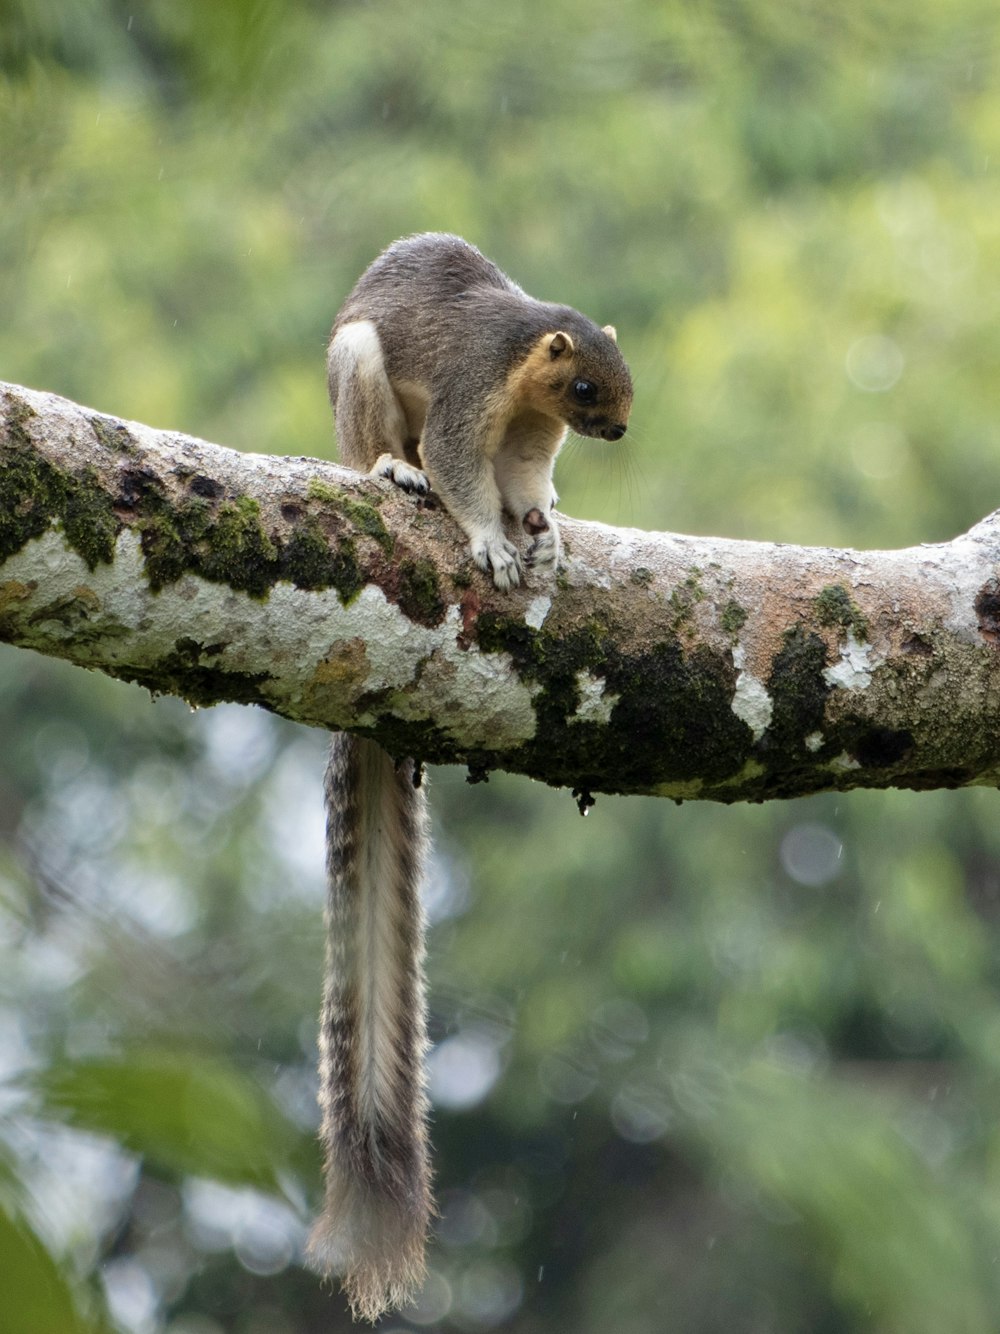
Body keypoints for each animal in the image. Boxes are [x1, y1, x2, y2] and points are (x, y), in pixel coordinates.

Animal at [308, 234, 634, 1317]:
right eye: (586, 385)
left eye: (620, 380)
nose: (617, 428)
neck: (528, 371)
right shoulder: (467, 395)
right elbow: (460, 467)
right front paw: (490, 536)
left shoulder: (527, 436)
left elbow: (522, 477)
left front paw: (541, 520)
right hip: (362, 372)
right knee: (395, 454)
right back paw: (389, 470)